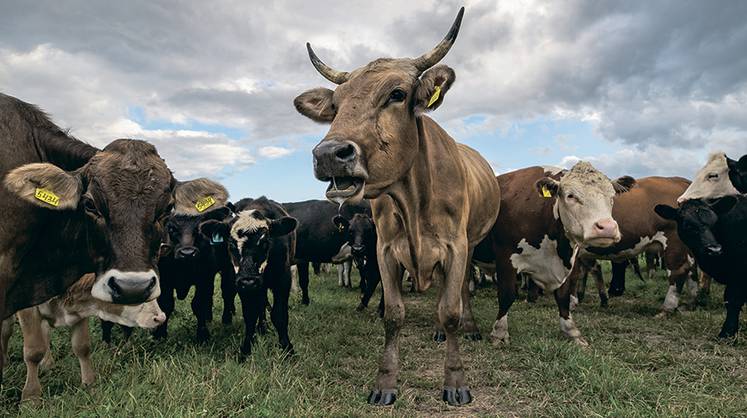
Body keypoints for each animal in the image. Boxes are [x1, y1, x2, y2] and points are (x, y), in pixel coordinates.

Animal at [1, 272, 165, 400]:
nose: (160, 318)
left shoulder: (79, 312)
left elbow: (82, 347)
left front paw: (89, 385)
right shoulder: (27, 308)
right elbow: (34, 352)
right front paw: (31, 397)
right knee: (7, 329)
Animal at [296, 7, 500, 404]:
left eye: (397, 93)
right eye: (336, 106)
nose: (328, 154)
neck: (413, 200)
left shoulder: (456, 246)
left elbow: (451, 309)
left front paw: (455, 381)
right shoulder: (385, 249)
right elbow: (392, 314)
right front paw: (385, 383)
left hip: (471, 243)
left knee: (460, 291)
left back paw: (466, 326)